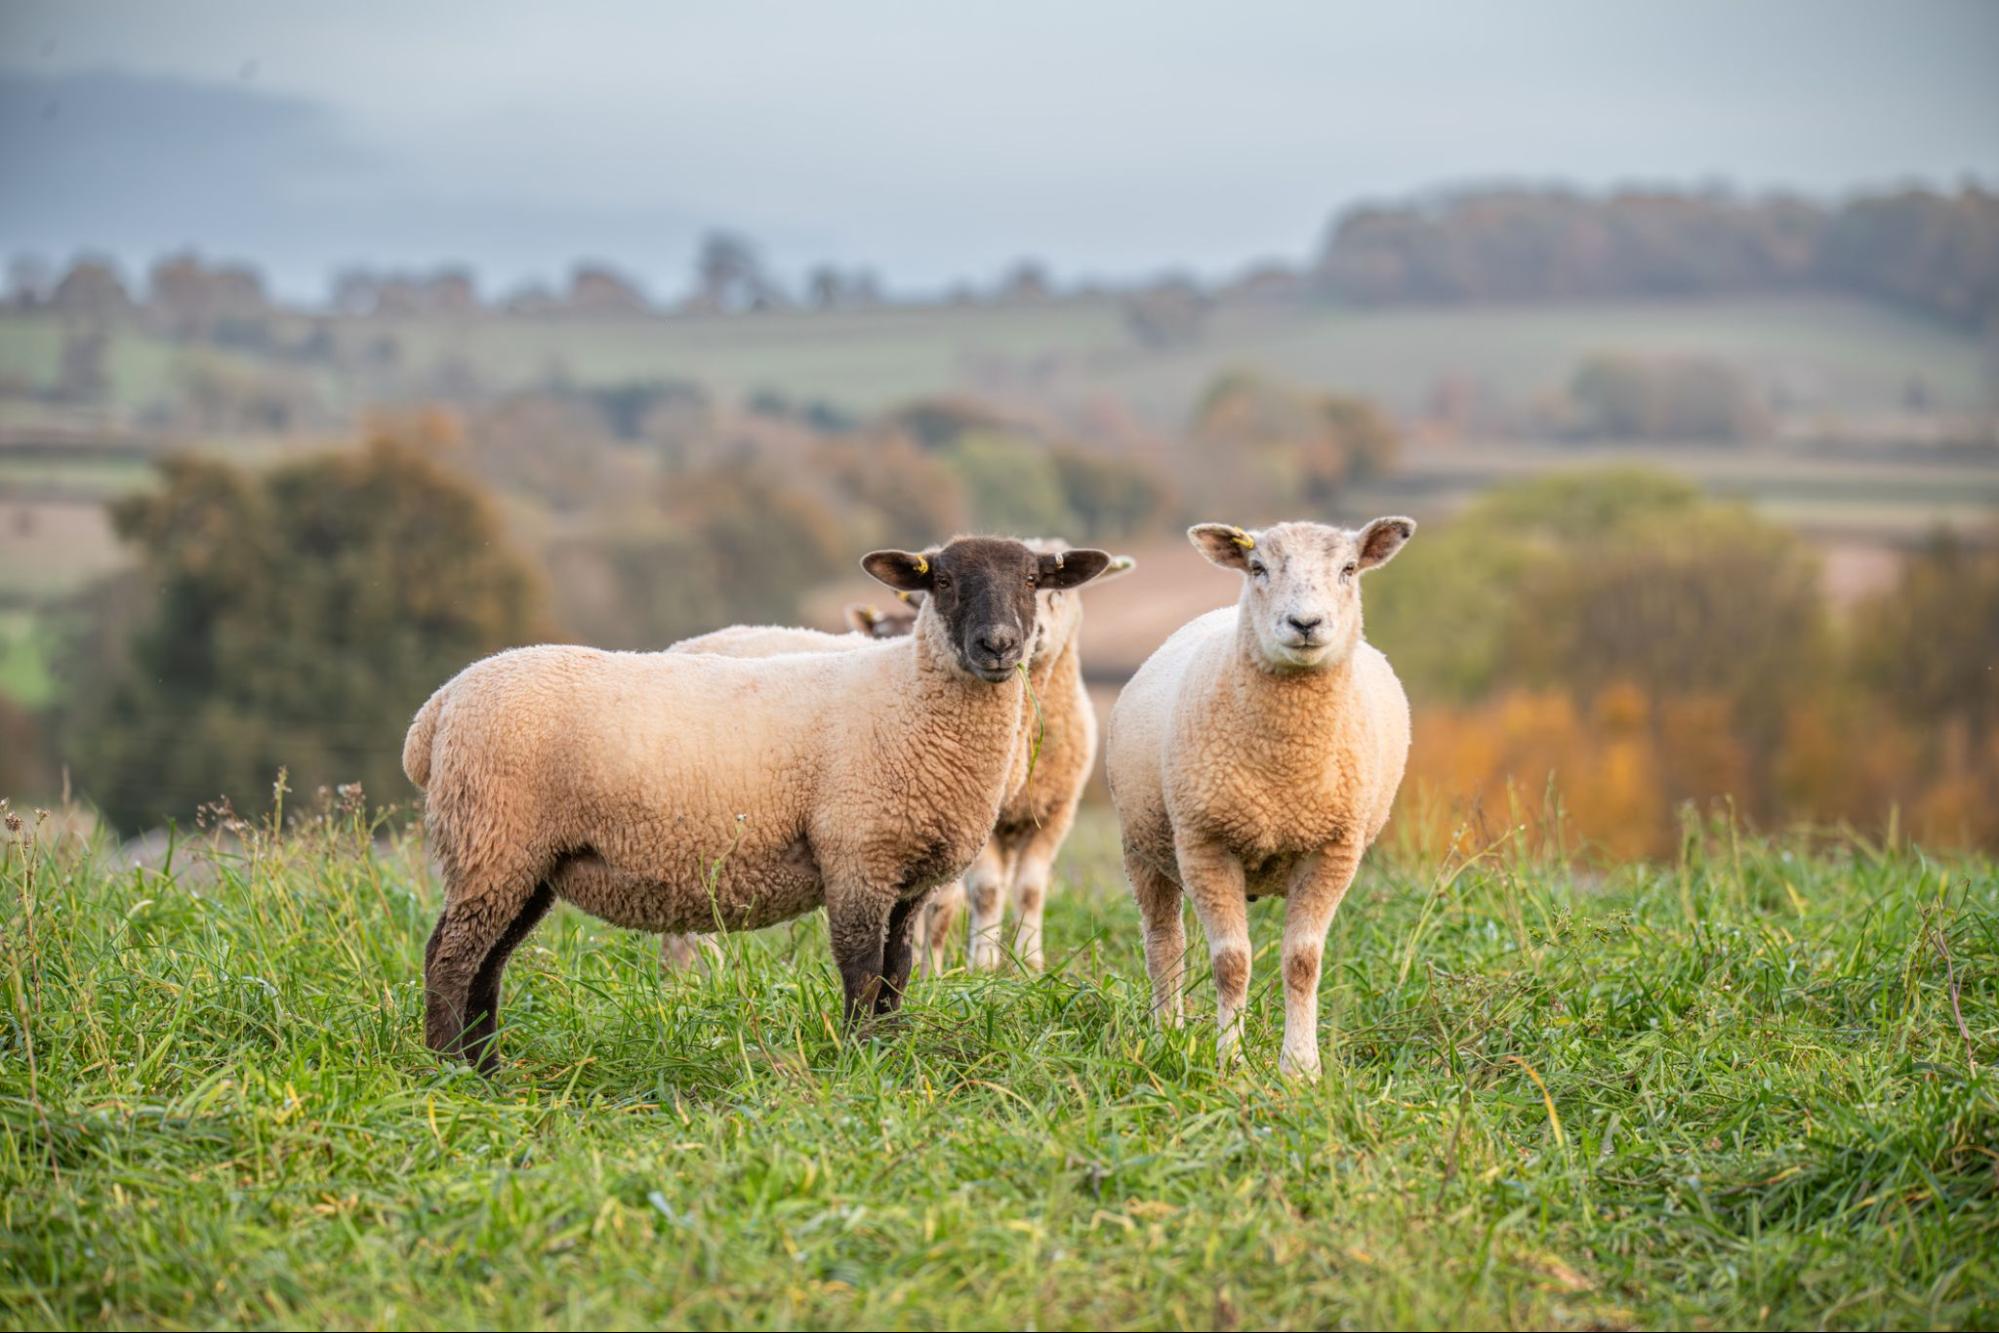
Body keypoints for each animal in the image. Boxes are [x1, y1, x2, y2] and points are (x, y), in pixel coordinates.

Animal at [402, 535, 1114, 1068]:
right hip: (494, 838)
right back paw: (448, 1070)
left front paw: (885, 1051)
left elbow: (899, 971)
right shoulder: (856, 855)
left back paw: (488, 1066)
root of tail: (437, 707)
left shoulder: (908, 874)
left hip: (525, 860)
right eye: (940, 581)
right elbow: (860, 968)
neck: (910, 696)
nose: (998, 645)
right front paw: (857, 1059)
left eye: (1033, 579)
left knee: (488, 962)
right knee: (451, 958)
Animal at [1104, 518, 1414, 1080]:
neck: (1283, 772)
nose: (1305, 623)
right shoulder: (1206, 844)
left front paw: (1301, 1068)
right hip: (1142, 846)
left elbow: (1303, 961)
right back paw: (1167, 1038)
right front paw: (1230, 1060)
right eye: (1257, 568)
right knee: (1164, 947)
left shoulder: (1333, 848)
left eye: (1349, 569)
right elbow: (1231, 962)